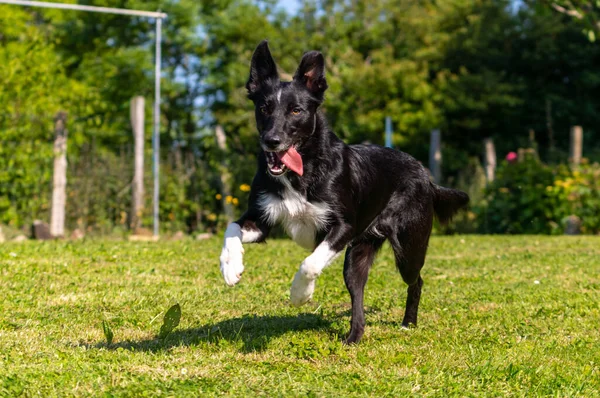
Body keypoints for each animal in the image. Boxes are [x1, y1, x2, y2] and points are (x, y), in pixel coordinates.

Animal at [220, 41, 468, 346]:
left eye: (296, 111)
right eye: (264, 107)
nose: (272, 141)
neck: (304, 170)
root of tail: (425, 174)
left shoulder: (343, 226)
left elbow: (310, 263)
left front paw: (300, 293)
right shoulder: (261, 220)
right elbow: (231, 228)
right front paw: (230, 267)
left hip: (409, 246)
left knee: (416, 280)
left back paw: (408, 323)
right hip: (357, 257)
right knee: (357, 292)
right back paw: (354, 336)